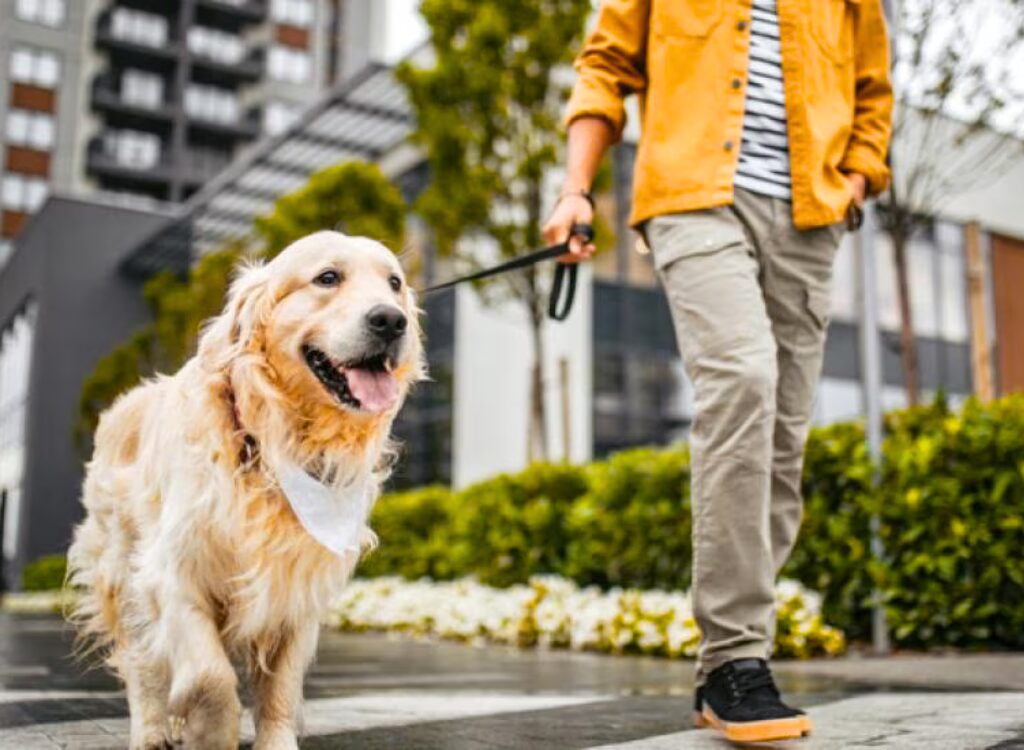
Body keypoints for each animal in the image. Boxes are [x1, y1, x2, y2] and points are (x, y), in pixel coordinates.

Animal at [66, 231, 423, 745]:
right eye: (327, 277)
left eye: (394, 283)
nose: (391, 320)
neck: (272, 444)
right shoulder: (172, 572)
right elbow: (210, 678)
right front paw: (210, 733)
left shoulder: (297, 587)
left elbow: (279, 690)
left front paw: (274, 739)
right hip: (120, 568)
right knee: (142, 663)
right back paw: (152, 730)